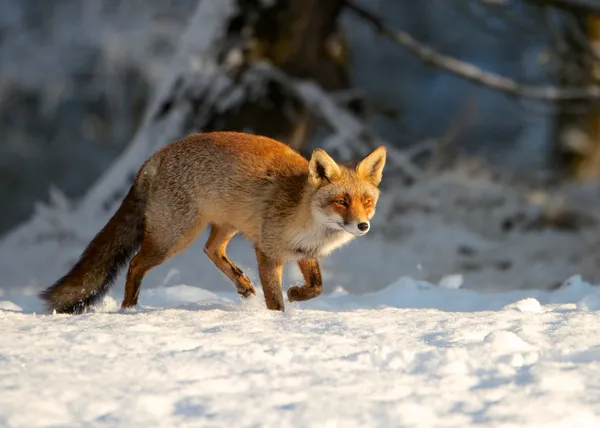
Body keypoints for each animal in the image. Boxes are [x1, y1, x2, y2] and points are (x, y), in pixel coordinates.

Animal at [39, 131, 386, 314]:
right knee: (136, 263)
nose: (362, 226)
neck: (306, 219)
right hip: (174, 238)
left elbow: (317, 286)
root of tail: (156, 155)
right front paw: (279, 320)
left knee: (211, 249)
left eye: (366, 202)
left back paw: (243, 284)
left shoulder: (303, 253)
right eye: (341, 201)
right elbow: (275, 298)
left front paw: (297, 295)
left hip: (226, 224)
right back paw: (130, 308)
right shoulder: (268, 251)